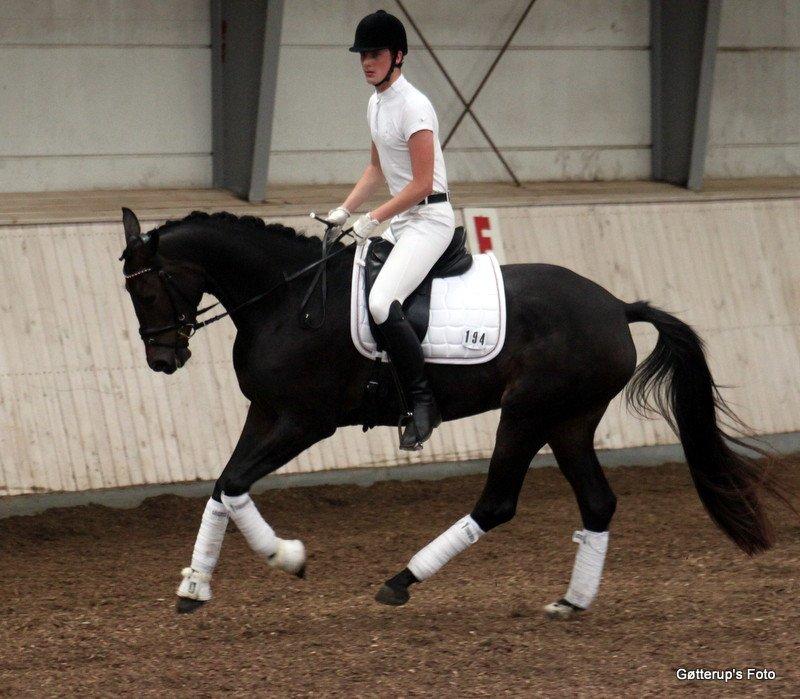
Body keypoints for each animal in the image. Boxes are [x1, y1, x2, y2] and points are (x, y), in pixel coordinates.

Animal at [119, 205, 788, 616]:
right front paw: (196, 586)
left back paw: (401, 582)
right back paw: (571, 601)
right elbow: (222, 485)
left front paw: (288, 557)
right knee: (597, 503)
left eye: (146, 287)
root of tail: (614, 306)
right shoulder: (267, 413)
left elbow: (235, 482)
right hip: (569, 420)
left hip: (527, 414)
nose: (161, 359)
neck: (287, 298)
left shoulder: (304, 422)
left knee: (497, 503)